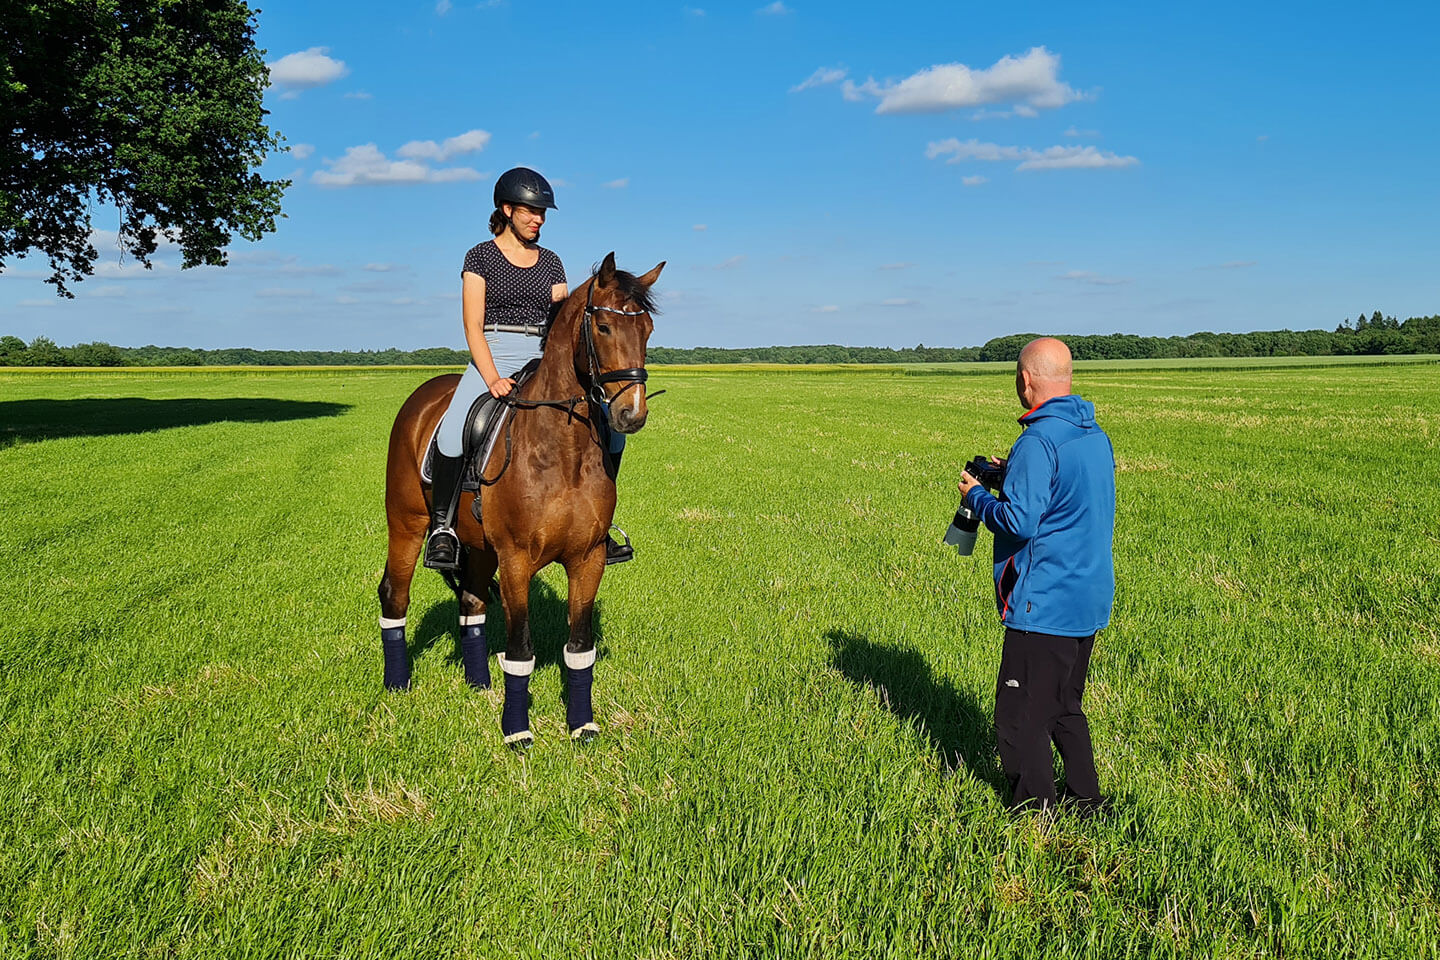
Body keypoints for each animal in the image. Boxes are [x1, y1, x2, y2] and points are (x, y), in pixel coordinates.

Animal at [377, 252, 663, 748]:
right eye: (604, 327)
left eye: (646, 328)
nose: (631, 414)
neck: (563, 450)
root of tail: (423, 396)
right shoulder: (516, 560)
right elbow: (521, 650)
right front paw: (516, 732)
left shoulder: (587, 558)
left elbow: (579, 647)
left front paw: (582, 725)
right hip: (408, 524)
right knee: (396, 596)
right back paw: (398, 688)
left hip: (478, 548)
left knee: (472, 603)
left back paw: (478, 685)